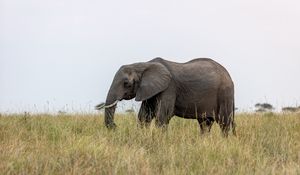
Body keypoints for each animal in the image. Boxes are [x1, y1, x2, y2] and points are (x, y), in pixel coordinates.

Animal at [97, 58, 236, 136]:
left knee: (224, 122)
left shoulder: (169, 88)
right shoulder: (149, 90)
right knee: (205, 123)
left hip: (225, 94)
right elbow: (144, 116)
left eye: (127, 83)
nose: (115, 126)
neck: (144, 65)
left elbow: (162, 116)